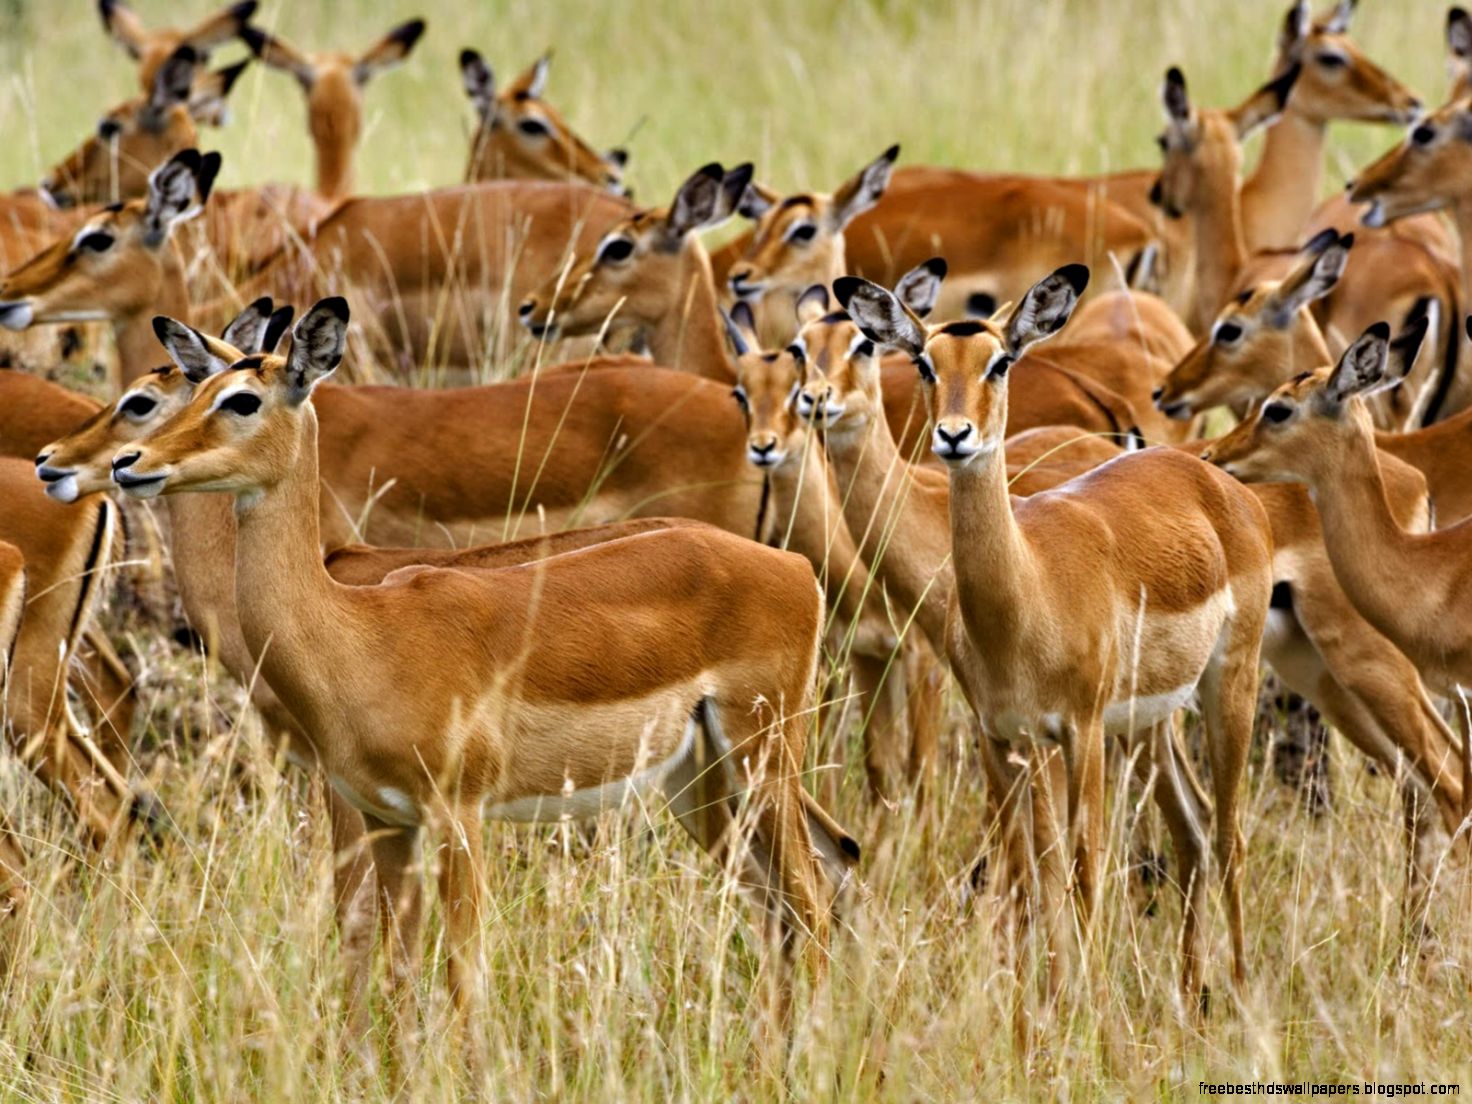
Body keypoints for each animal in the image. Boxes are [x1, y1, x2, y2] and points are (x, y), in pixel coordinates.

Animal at [115, 296, 858, 1063]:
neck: (358, 631)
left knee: (810, 897)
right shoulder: (387, 819)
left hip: (761, 759)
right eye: (194, 389)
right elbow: (396, 965)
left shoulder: (457, 815)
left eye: (242, 398)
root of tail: (793, 568)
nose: (127, 463)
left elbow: (460, 973)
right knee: (791, 895)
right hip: (699, 782)